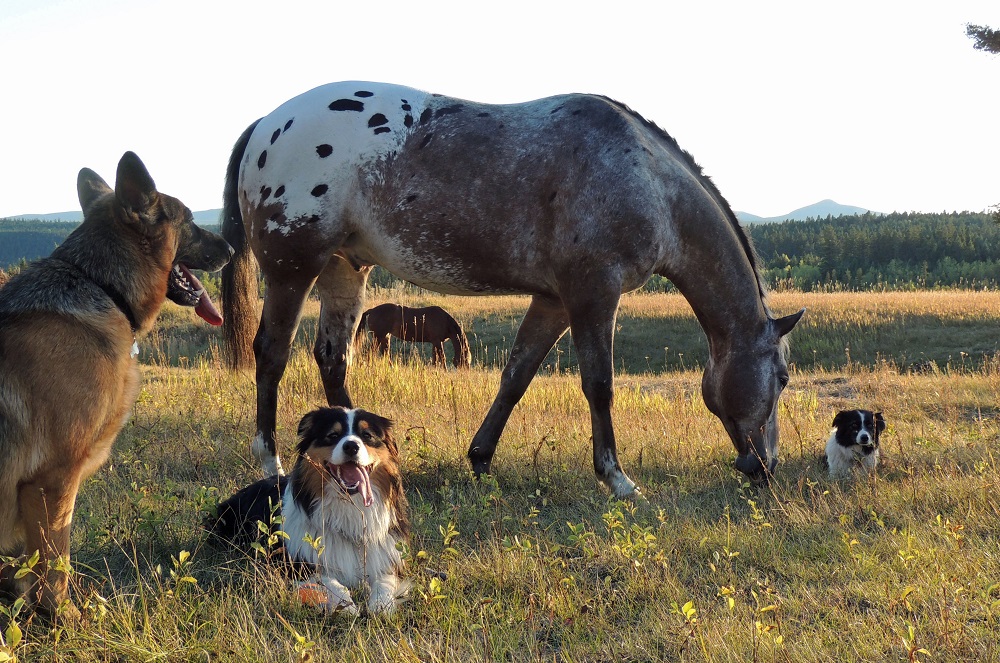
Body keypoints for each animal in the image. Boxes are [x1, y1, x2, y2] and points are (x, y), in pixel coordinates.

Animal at [221, 81, 804, 494]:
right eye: (782, 377)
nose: (765, 468)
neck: (646, 180)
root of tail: (267, 124)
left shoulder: (553, 300)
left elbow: (516, 377)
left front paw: (481, 458)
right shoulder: (593, 293)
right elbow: (599, 384)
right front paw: (616, 478)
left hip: (345, 268)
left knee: (332, 357)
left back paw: (367, 453)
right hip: (293, 269)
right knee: (271, 353)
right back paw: (272, 461)